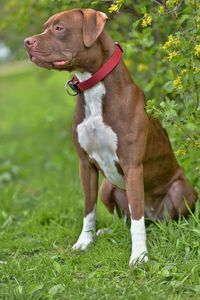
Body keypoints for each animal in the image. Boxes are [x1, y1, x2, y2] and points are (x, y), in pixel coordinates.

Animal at [24, 8, 197, 268]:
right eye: (46, 27)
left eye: (59, 28)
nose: (27, 42)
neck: (93, 87)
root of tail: (154, 216)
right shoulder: (85, 164)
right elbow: (89, 209)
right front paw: (84, 242)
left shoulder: (132, 165)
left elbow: (136, 219)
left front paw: (139, 255)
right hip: (107, 187)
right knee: (126, 218)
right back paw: (107, 231)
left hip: (179, 189)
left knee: (156, 218)